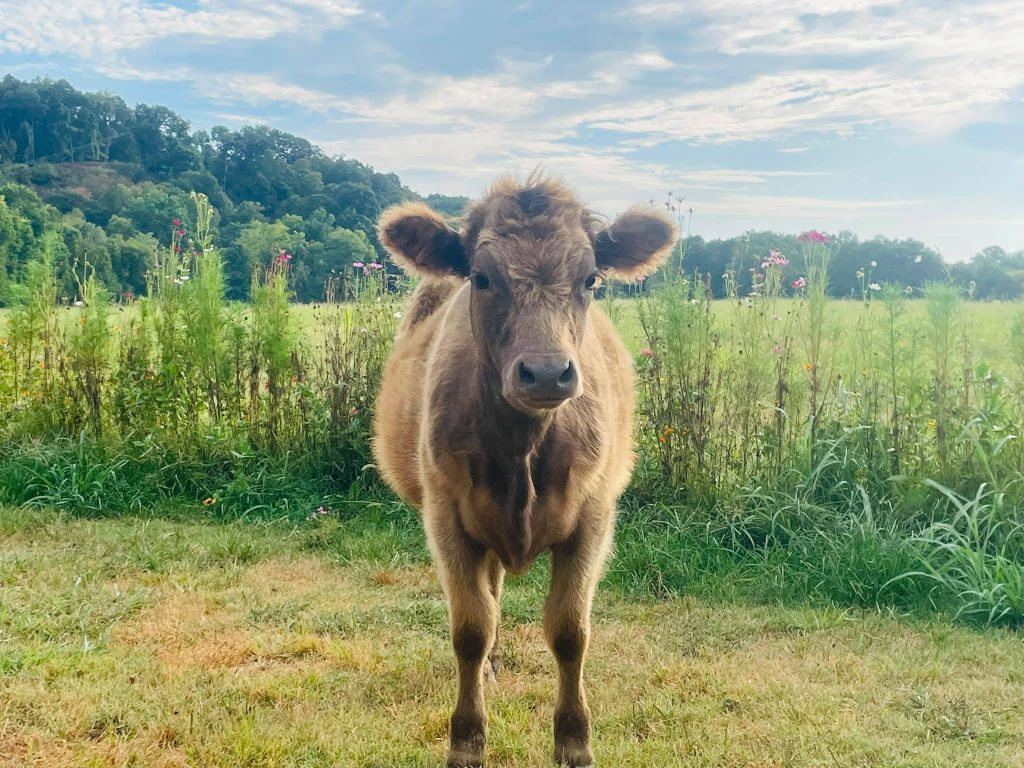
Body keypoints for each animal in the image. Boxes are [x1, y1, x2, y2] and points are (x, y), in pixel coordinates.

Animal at [373, 173, 674, 767]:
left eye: (590, 278)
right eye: (482, 277)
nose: (547, 373)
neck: (523, 452)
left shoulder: (593, 518)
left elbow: (570, 631)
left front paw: (574, 742)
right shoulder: (446, 516)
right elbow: (470, 628)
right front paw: (466, 742)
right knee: (487, 601)